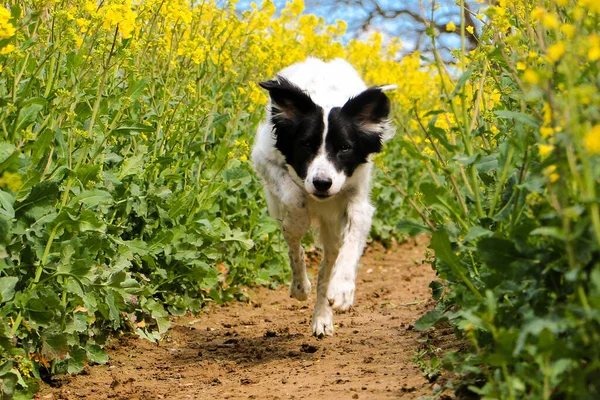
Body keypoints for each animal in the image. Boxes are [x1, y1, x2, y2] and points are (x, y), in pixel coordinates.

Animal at [252, 57, 396, 338]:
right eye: (306, 145)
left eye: (345, 148)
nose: (322, 183)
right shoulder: (263, 159)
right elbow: (294, 200)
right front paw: (298, 221)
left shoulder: (358, 200)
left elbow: (352, 241)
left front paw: (342, 290)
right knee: (294, 245)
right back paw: (300, 287)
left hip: (333, 233)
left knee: (326, 268)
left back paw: (322, 316)